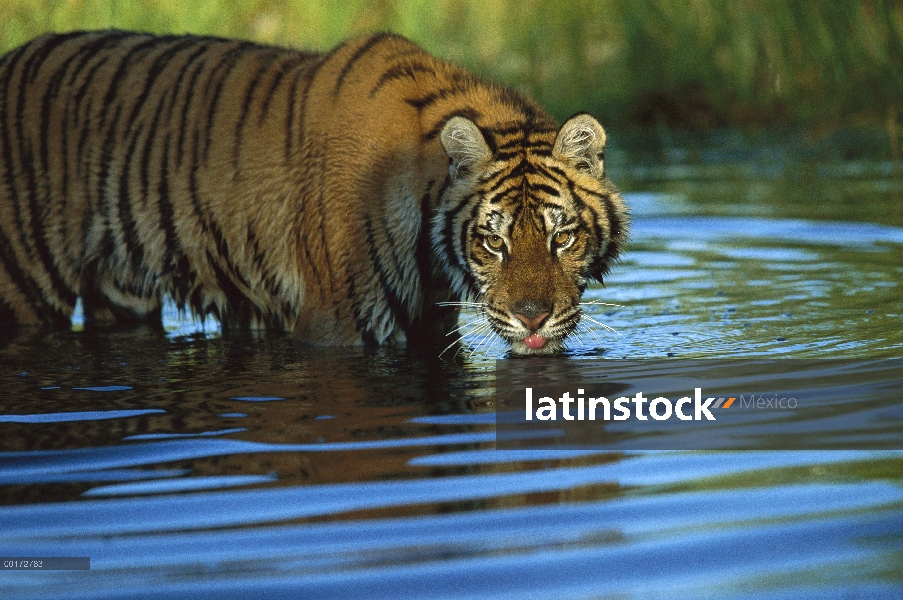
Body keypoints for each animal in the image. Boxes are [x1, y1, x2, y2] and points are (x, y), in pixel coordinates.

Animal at [0, 29, 628, 352]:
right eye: (494, 242)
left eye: (563, 237)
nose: (532, 320)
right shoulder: (339, 326)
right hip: (23, 288)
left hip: (121, 293)